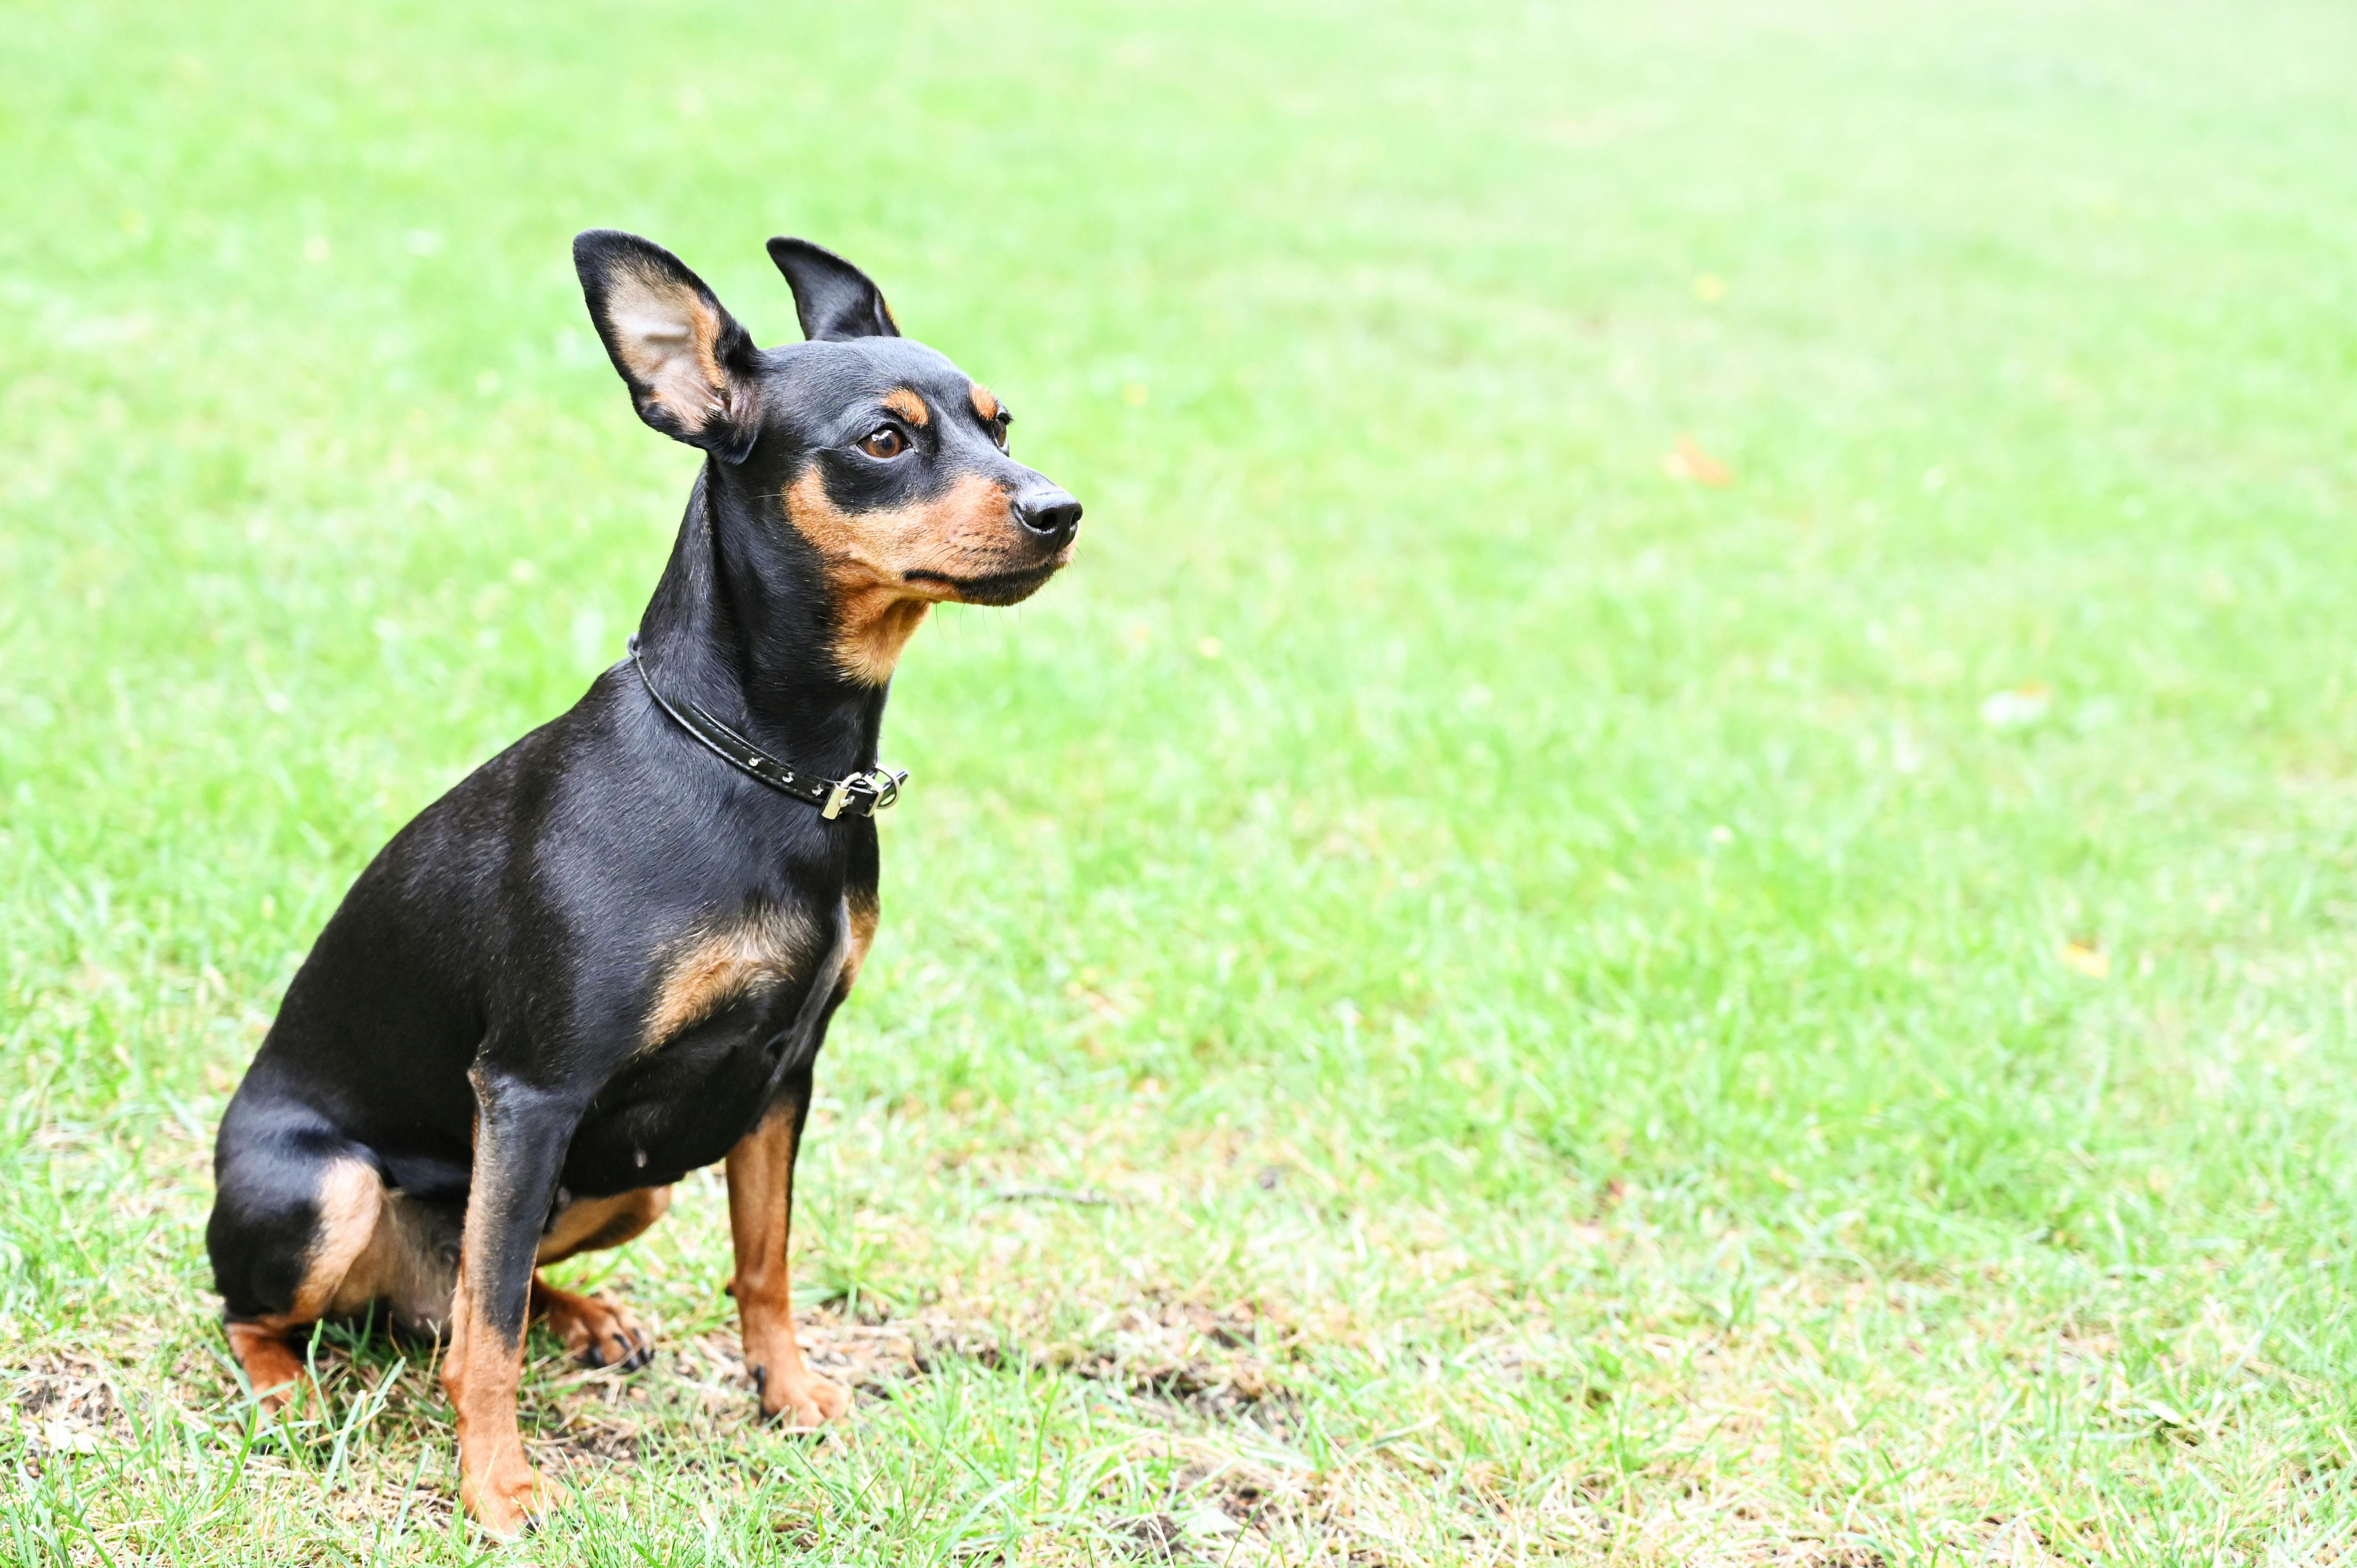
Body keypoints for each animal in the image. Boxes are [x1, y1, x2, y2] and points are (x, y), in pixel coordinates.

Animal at [205, 232, 1084, 1528]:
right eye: (885, 440)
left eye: (1000, 422)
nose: (1059, 510)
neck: (768, 770)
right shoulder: (532, 1090)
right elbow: (490, 1332)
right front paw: (500, 1486)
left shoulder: (781, 1078)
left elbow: (762, 1262)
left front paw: (790, 1398)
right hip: (329, 1193)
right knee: (298, 1312)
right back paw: (288, 1392)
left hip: (630, 1186)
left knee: (462, 1294)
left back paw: (587, 1317)